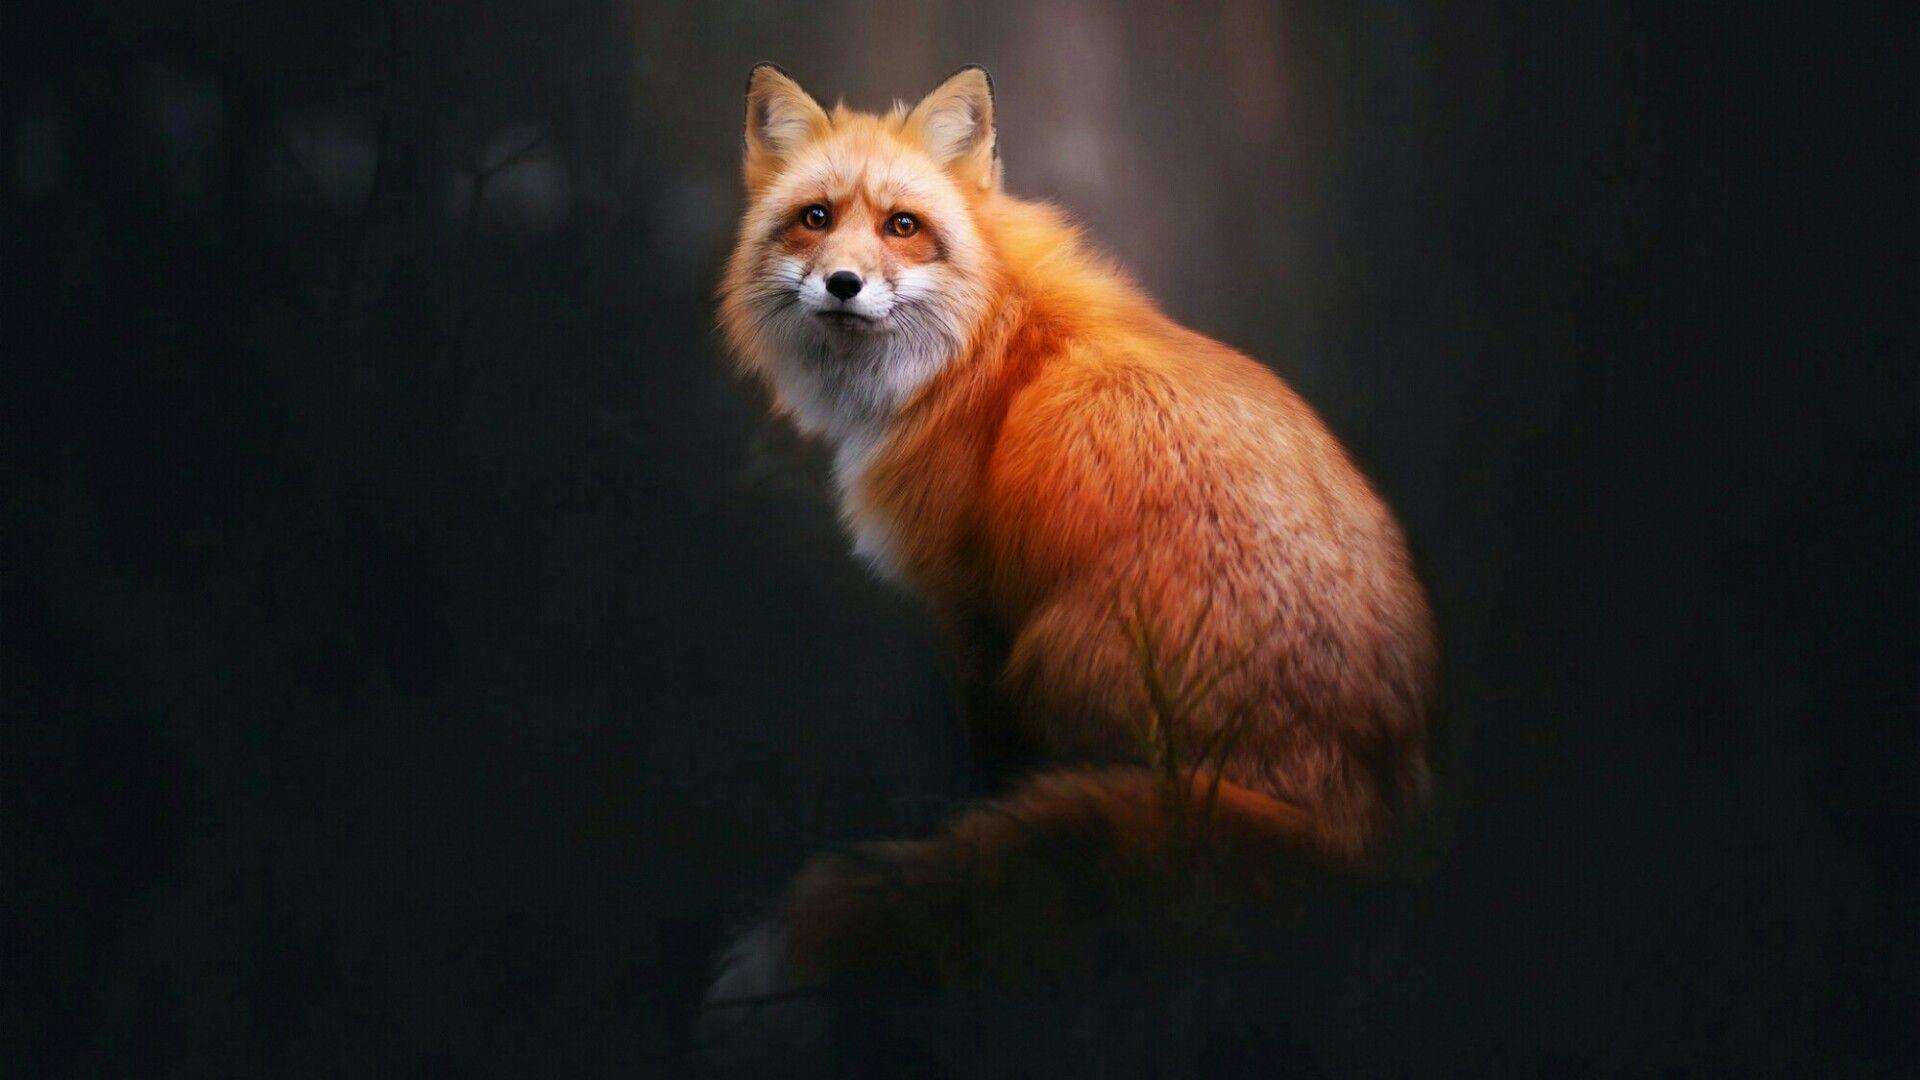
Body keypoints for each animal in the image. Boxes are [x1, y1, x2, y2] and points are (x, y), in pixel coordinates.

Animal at [711, 64, 1437, 994]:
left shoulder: (970, 608)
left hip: (1052, 655)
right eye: (815, 217)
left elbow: (986, 763)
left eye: (903, 226)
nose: (843, 283)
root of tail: (1355, 815)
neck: (983, 340)